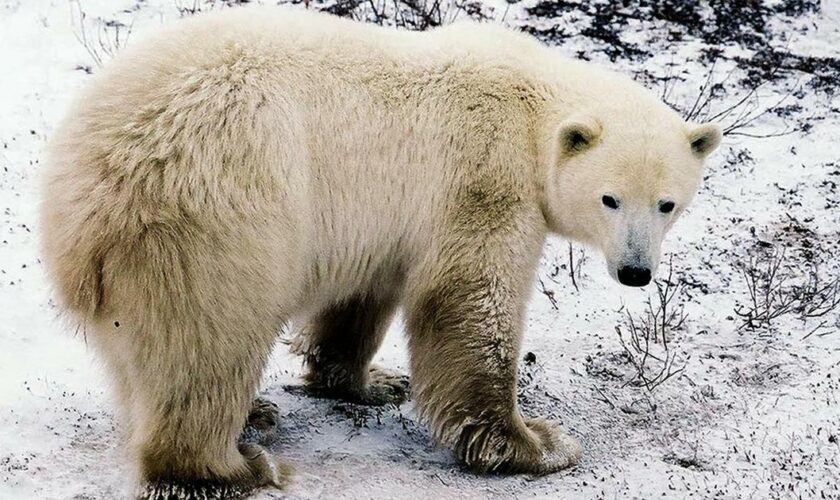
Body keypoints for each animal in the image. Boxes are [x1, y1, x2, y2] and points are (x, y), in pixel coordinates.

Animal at [41, 5, 720, 498]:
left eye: (667, 203)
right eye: (610, 199)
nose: (635, 272)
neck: (532, 107)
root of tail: (86, 197)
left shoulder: (384, 222)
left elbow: (361, 299)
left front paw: (372, 382)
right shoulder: (482, 178)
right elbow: (471, 303)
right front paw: (537, 444)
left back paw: (255, 414)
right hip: (220, 214)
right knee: (207, 339)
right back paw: (234, 467)